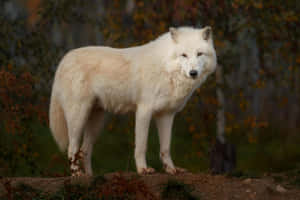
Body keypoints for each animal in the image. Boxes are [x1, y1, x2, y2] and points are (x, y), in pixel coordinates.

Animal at [49, 25, 218, 176]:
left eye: (199, 54)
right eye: (184, 55)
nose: (193, 73)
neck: (166, 68)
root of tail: (64, 59)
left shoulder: (166, 115)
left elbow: (165, 148)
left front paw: (171, 170)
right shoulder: (144, 111)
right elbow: (141, 146)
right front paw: (143, 170)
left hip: (97, 122)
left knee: (85, 150)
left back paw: (89, 176)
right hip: (78, 117)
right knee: (72, 148)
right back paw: (76, 175)